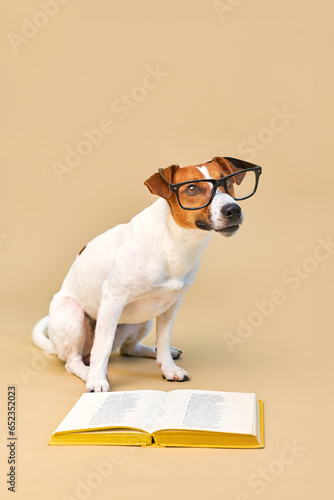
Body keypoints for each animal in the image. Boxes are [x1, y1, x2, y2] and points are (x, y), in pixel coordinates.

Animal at [32, 156, 260, 390]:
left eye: (228, 182)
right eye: (192, 188)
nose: (233, 210)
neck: (175, 243)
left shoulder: (171, 306)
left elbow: (163, 338)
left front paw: (168, 368)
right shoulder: (113, 299)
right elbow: (102, 347)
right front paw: (97, 380)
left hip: (142, 321)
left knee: (128, 349)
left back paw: (158, 352)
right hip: (74, 317)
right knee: (75, 360)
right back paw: (88, 373)